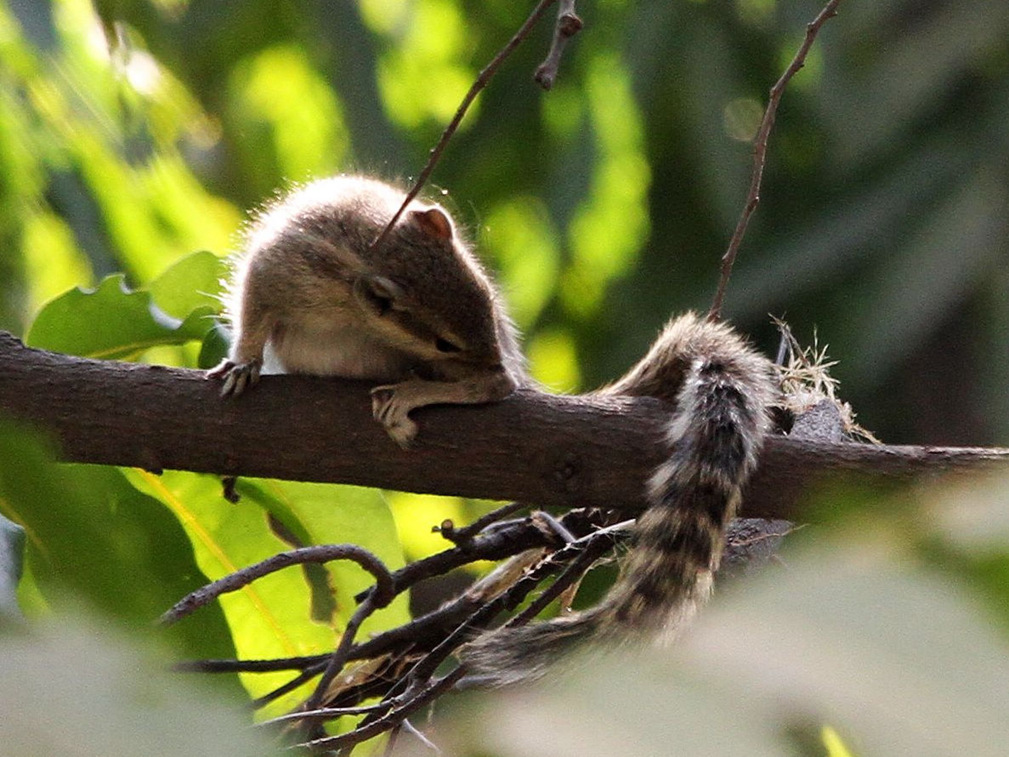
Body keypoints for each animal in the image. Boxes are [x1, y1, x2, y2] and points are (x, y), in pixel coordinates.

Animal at [207, 174, 524, 448]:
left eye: (488, 296)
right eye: (444, 344)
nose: (497, 359)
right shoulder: (278, 272)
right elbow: (253, 315)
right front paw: (244, 364)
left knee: (497, 384)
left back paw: (406, 395)